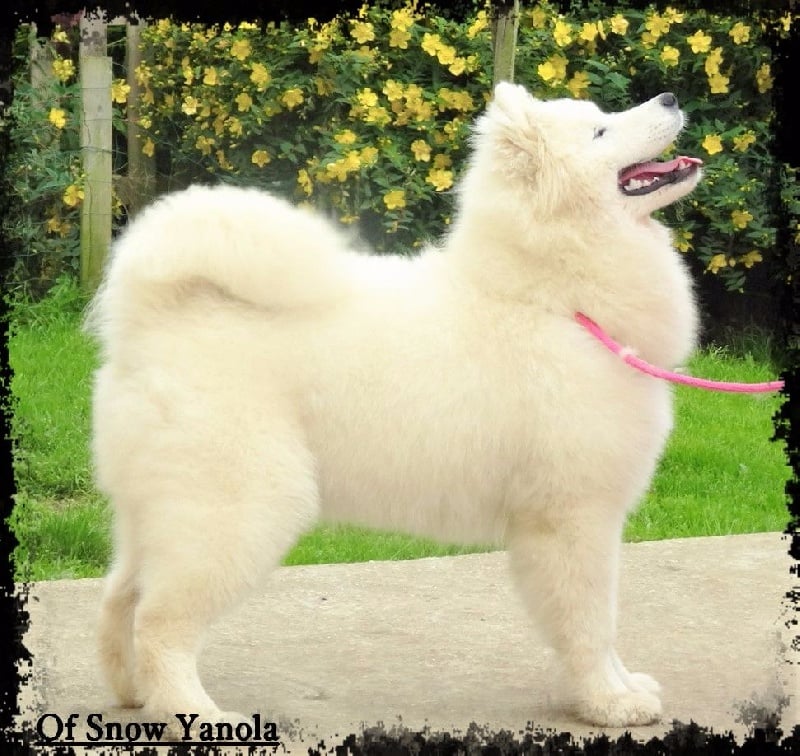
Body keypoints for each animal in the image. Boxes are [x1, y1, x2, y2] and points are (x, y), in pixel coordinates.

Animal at [88, 82, 701, 728]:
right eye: (600, 132)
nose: (669, 97)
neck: (552, 298)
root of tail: (151, 316)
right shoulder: (574, 516)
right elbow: (591, 623)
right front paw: (608, 703)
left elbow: (599, 627)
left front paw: (622, 686)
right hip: (237, 510)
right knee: (160, 622)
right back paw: (194, 712)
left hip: (157, 514)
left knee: (120, 600)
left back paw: (135, 695)